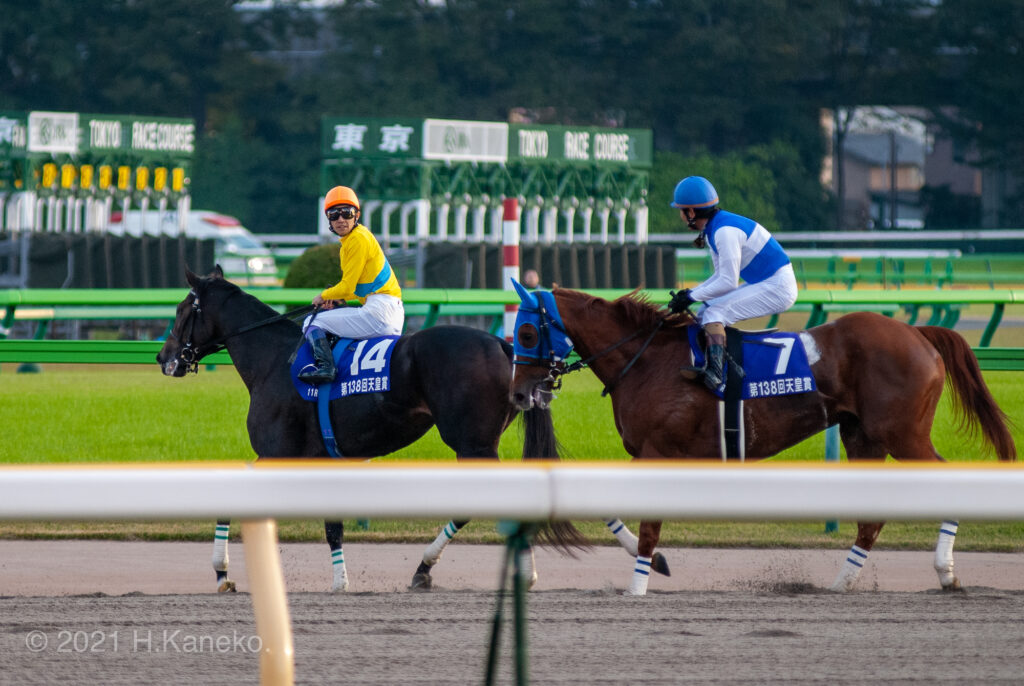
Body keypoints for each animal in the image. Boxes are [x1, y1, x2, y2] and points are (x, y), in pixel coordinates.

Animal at [156, 267, 584, 592]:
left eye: (181, 309)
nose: (164, 357)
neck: (274, 359)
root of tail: (503, 345)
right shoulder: (319, 460)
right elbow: (333, 526)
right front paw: (340, 581)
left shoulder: (275, 453)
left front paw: (222, 573)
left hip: (472, 443)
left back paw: (429, 568)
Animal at [508, 283, 1017, 595]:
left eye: (528, 331)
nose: (517, 393)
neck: (647, 360)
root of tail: (917, 331)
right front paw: (650, 562)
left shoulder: (659, 451)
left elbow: (646, 522)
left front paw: (638, 584)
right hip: (863, 437)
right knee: (871, 516)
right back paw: (841, 584)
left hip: (902, 432)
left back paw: (945, 573)